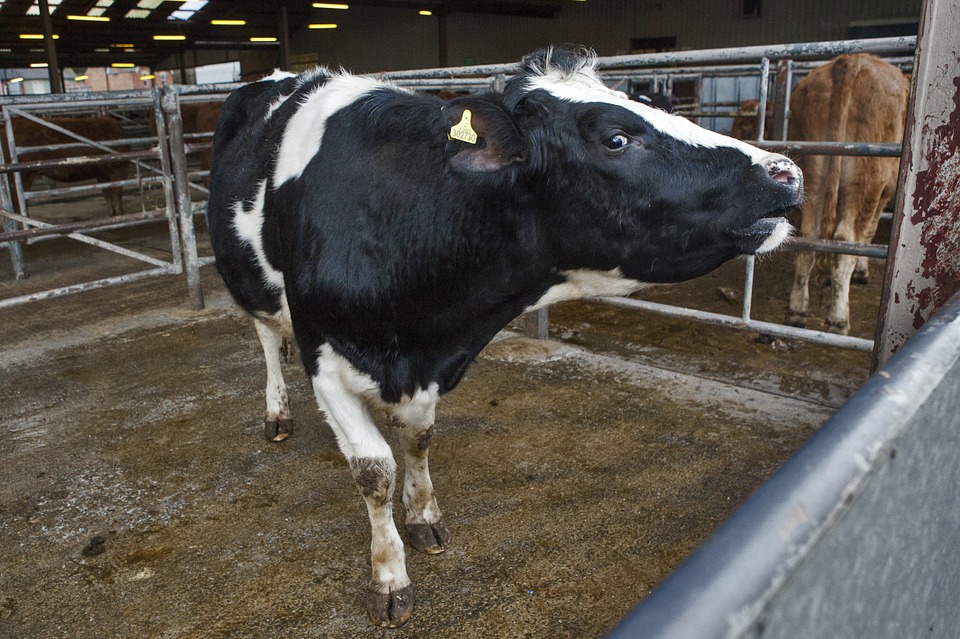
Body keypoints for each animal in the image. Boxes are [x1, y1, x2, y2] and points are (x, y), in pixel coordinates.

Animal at [210, 46, 804, 632]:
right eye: (616, 138)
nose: (787, 172)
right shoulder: (327, 361)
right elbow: (374, 471)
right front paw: (389, 577)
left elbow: (418, 439)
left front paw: (423, 516)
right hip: (249, 283)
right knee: (267, 337)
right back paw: (277, 411)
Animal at [784, 54, 912, 336]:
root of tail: (849, 61)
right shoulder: (884, 193)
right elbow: (868, 232)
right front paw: (862, 272)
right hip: (865, 176)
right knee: (845, 240)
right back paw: (839, 318)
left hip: (812, 170)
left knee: (809, 236)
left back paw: (797, 311)